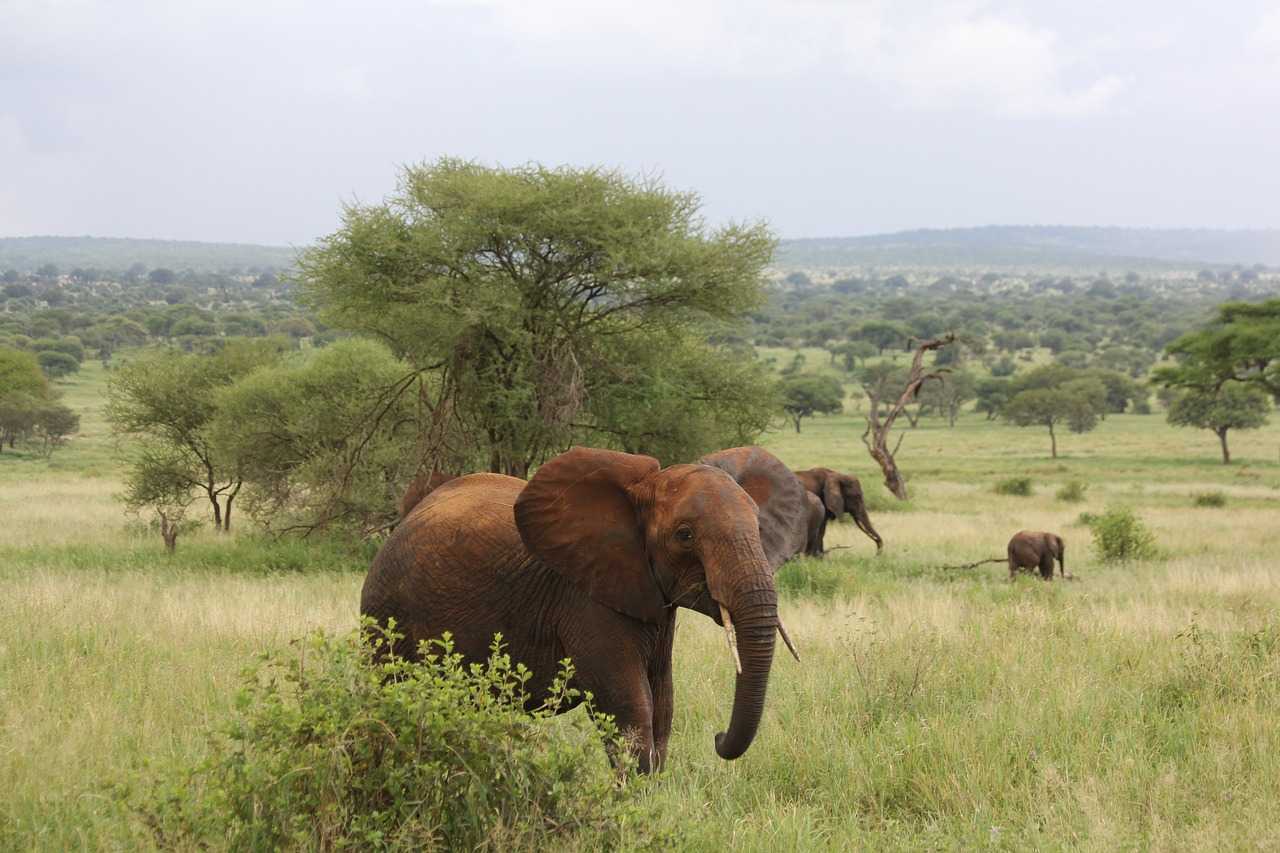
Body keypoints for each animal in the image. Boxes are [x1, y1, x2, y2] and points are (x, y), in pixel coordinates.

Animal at [361, 446, 797, 773]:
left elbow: (663, 706)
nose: (718, 738)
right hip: (385, 612)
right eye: (685, 535)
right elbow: (630, 710)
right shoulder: (584, 600)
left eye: (759, 528)